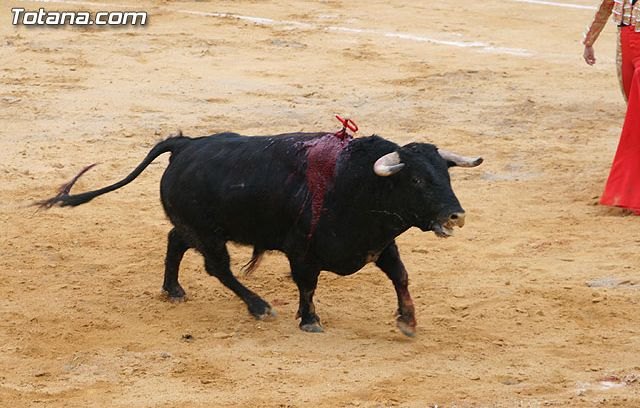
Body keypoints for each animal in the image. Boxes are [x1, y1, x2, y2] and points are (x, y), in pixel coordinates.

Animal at [40, 132, 480, 336]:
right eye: (418, 180)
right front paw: (309, 320)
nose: (456, 215)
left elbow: (401, 277)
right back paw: (258, 306)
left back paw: (173, 289)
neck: (357, 184)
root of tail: (185, 144)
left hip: (198, 227)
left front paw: (408, 321)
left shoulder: (380, 244)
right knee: (218, 269)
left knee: (174, 241)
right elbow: (307, 285)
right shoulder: (302, 253)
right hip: (209, 234)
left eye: (446, 175)